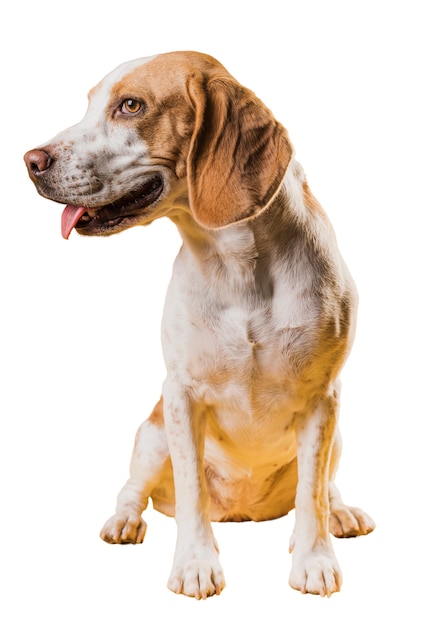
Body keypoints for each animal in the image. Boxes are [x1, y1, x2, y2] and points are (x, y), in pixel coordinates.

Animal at [23, 51, 374, 596]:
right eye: (90, 103)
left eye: (131, 106)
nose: (30, 161)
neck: (237, 265)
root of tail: (242, 511)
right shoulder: (180, 397)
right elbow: (192, 493)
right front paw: (195, 563)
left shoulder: (323, 397)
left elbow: (312, 493)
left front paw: (314, 559)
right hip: (151, 434)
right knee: (133, 489)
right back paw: (124, 520)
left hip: (335, 435)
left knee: (323, 487)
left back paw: (338, 513)